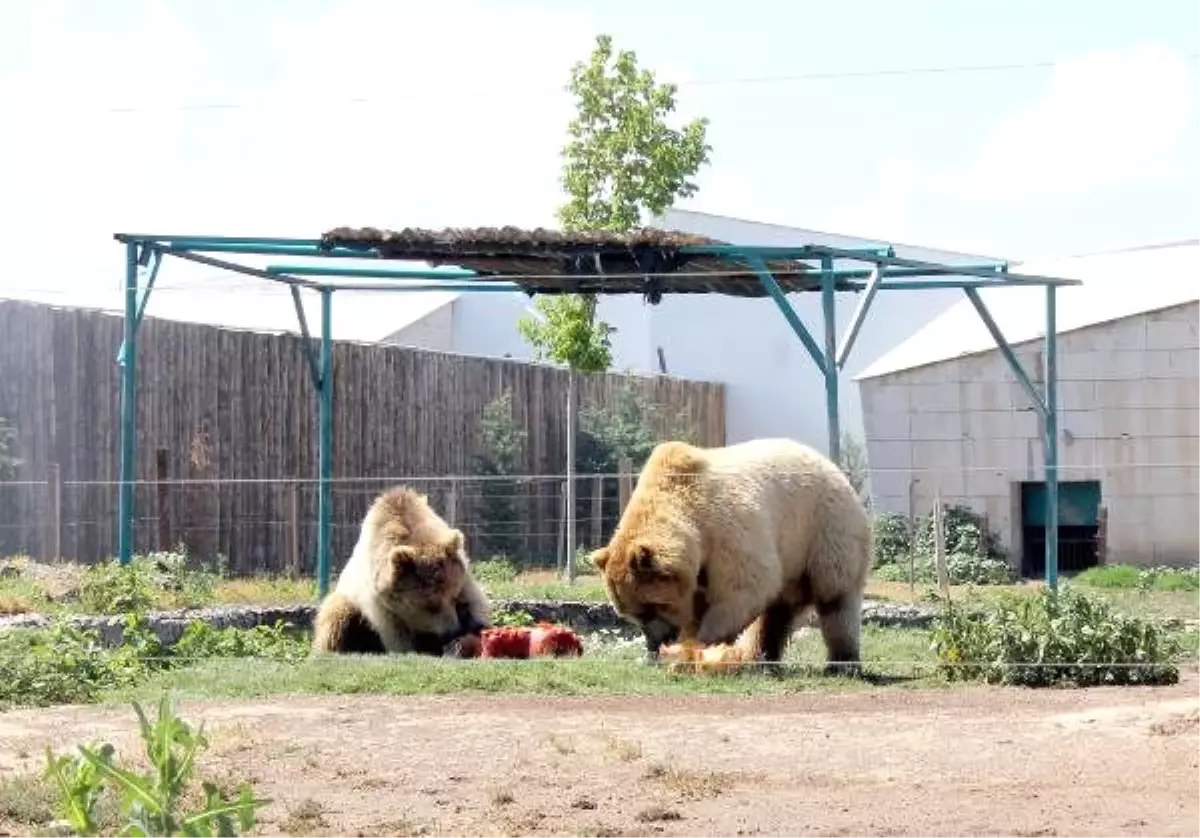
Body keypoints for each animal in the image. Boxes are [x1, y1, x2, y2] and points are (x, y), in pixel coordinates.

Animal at [314, 487, 496, 657]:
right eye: (431, 605)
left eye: (454, 597)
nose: (452, 632)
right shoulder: (383, 606)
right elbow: (398, 635)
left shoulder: (463, 578)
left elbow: (476, 603)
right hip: (347, 601)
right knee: (336, 618)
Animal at [590, 437, 873, 672]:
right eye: (631, 614)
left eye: (651, 606)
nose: (656, 643)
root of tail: (831, 465)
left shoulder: (728, 531)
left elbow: (744, 586)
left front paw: (699, 645)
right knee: (777, 614)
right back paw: (761, 657)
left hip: (823, 531)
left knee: (836, 600)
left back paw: (843, 663)